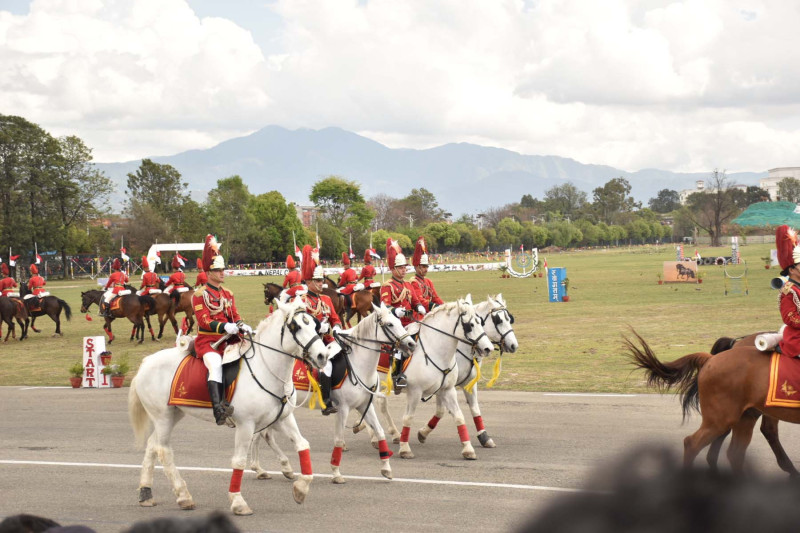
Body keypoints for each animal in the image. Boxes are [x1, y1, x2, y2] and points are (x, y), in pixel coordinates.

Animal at [130, 298, 330, 512]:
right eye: (295, 326)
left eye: (315, 324)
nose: (322, 356)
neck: (266, 368)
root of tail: (145, 362)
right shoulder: (246, 425)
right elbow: (239, 461)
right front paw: (238, 501)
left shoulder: (283, 419)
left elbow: (302, 444)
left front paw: (301, 488)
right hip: (163, 417)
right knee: (163, 450)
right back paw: (183, 495)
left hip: (173, 414)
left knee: (152, 445)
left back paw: (146, 492)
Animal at [247, 304, 416, 482]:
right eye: (390, 324)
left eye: (400, 321)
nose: (411, 344)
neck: (358, 364)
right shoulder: (343, 409)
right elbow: (339, 440)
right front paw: (336, 472)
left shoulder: (365, 405)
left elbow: (380, 432)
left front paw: (386, 468)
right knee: (262, 435)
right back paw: (267, 468)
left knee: (262, 435)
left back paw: (264, 469)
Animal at [394, 294, 494, 460]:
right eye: (470, 325)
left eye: (481, 322)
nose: (488, 348)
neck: (434, 350)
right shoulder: (414, 392)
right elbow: (408, 417)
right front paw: (405, 449)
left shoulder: (447, 389)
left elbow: (458, 416)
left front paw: (468, 449)